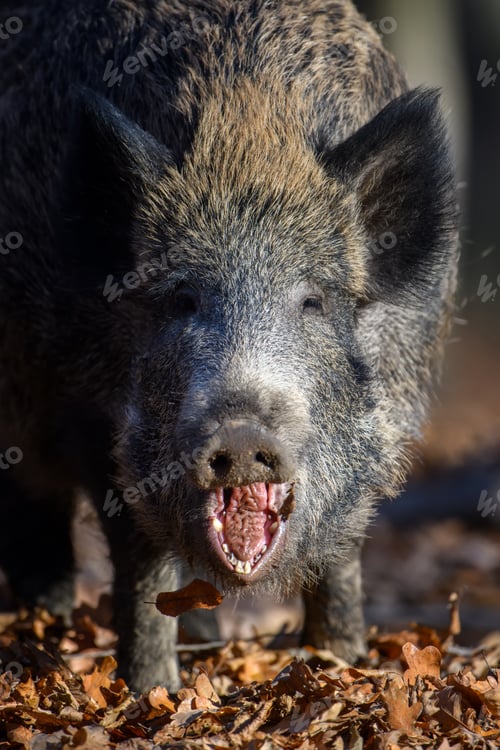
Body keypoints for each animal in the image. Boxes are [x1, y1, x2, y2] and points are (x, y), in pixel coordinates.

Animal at [0, 0, 458, 692]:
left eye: (314, 302)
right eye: (183, 299)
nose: (240, 434)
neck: (250, 119)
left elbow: (343, 554)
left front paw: (344, 661)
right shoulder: (91, 413)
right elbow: (140, 563)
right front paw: (152, 691)